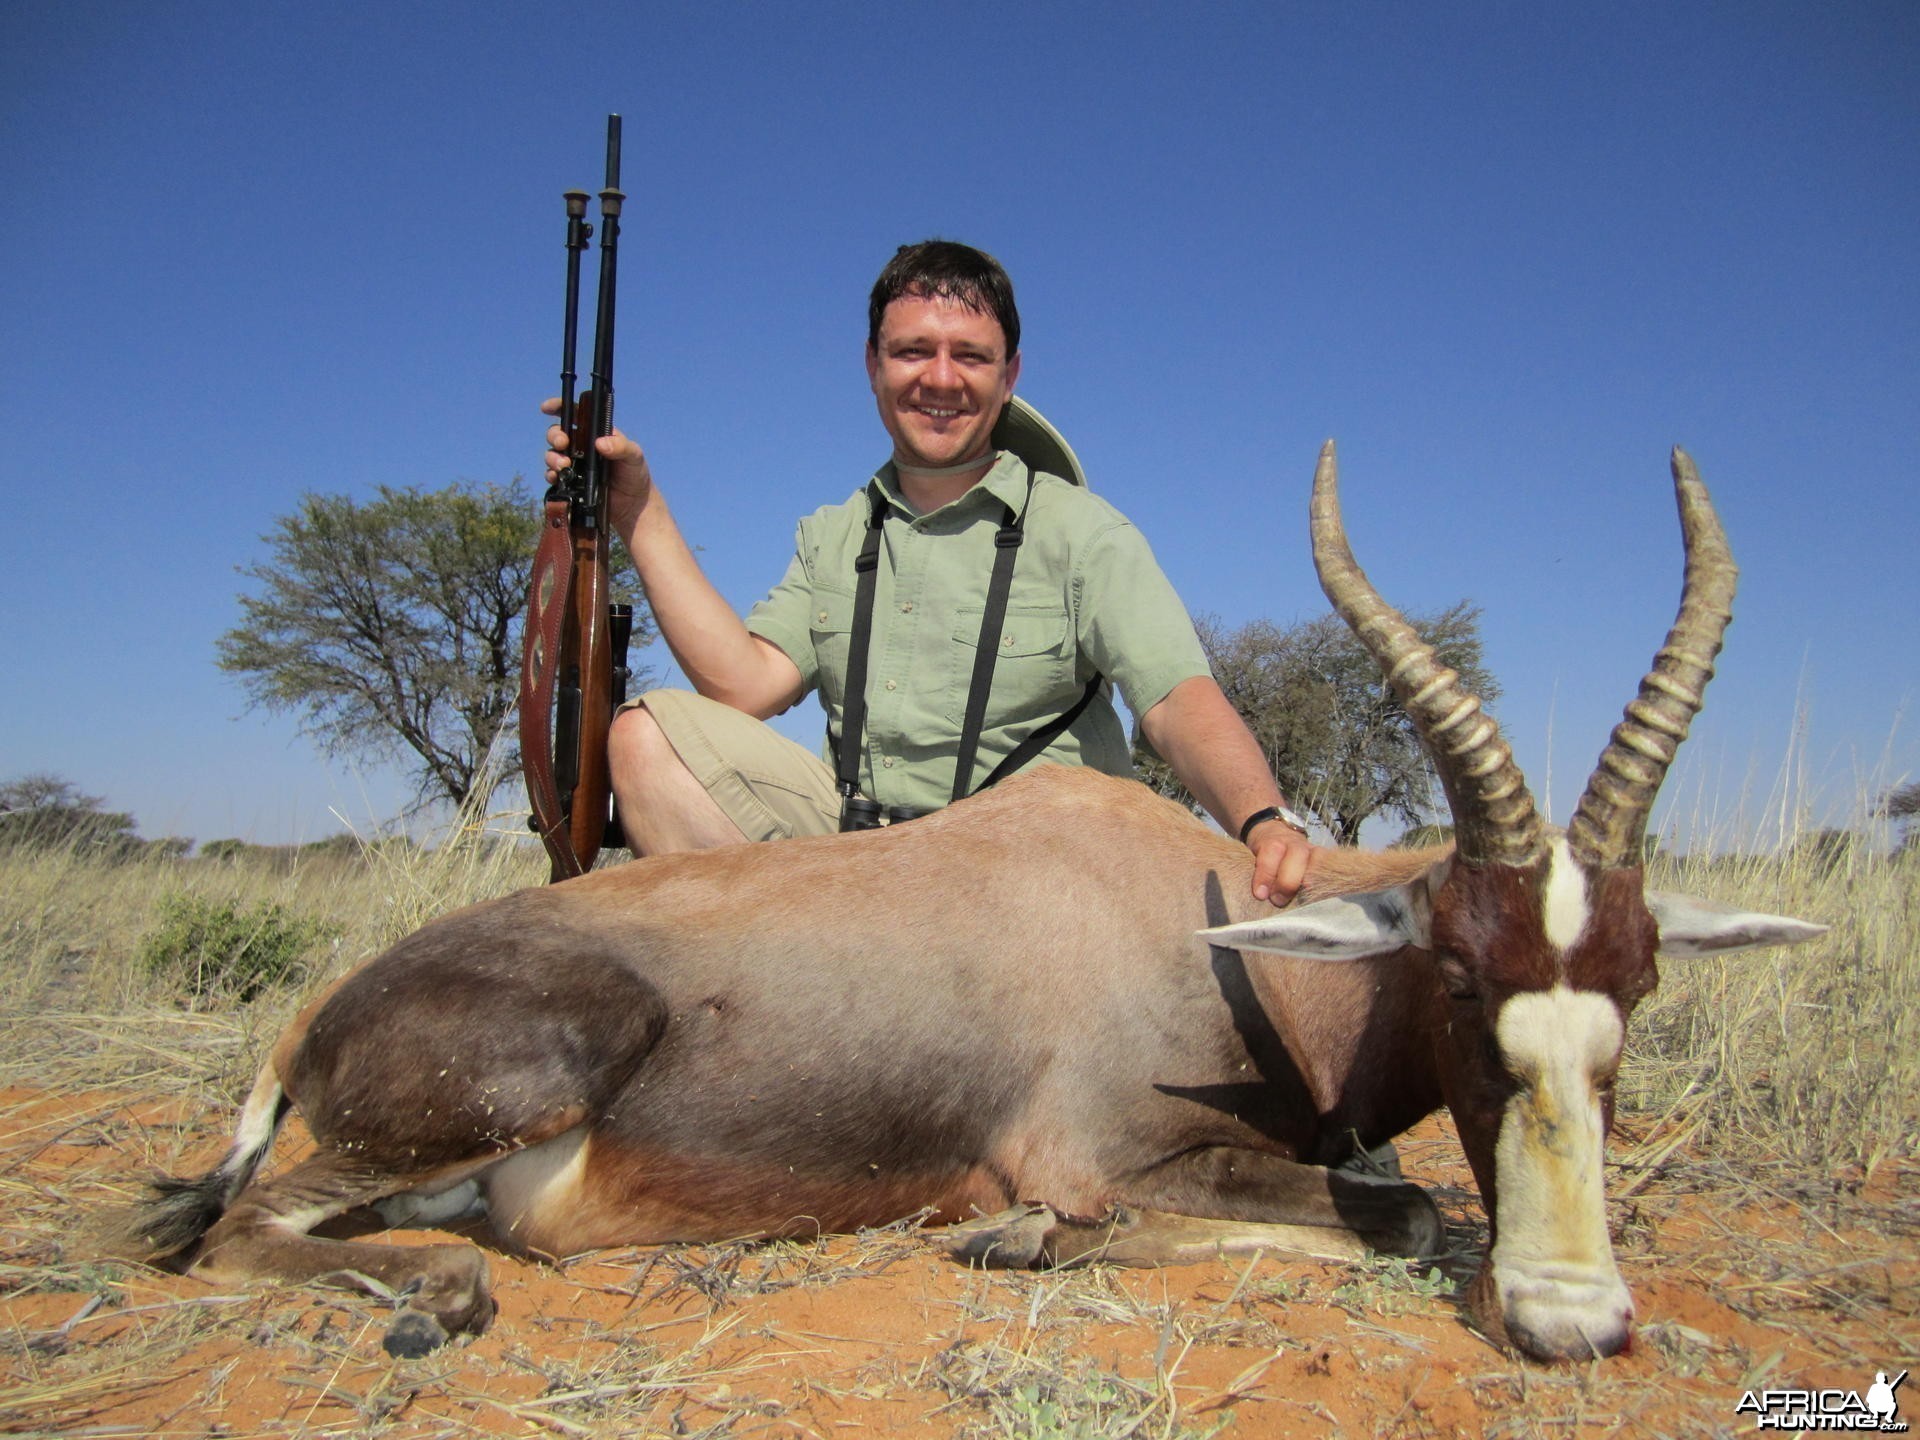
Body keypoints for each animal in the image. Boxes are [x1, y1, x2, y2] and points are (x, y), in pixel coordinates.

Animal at [120, 449, 1827, 1367]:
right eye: (1464, 983)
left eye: (1640, 990)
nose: (1572, 1319)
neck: (1203, 922)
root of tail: (311, 1018)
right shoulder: (1108, 1158)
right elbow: (1394, 1212)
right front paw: (1015, 1240)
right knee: (245, 1232)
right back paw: (430, 1303)